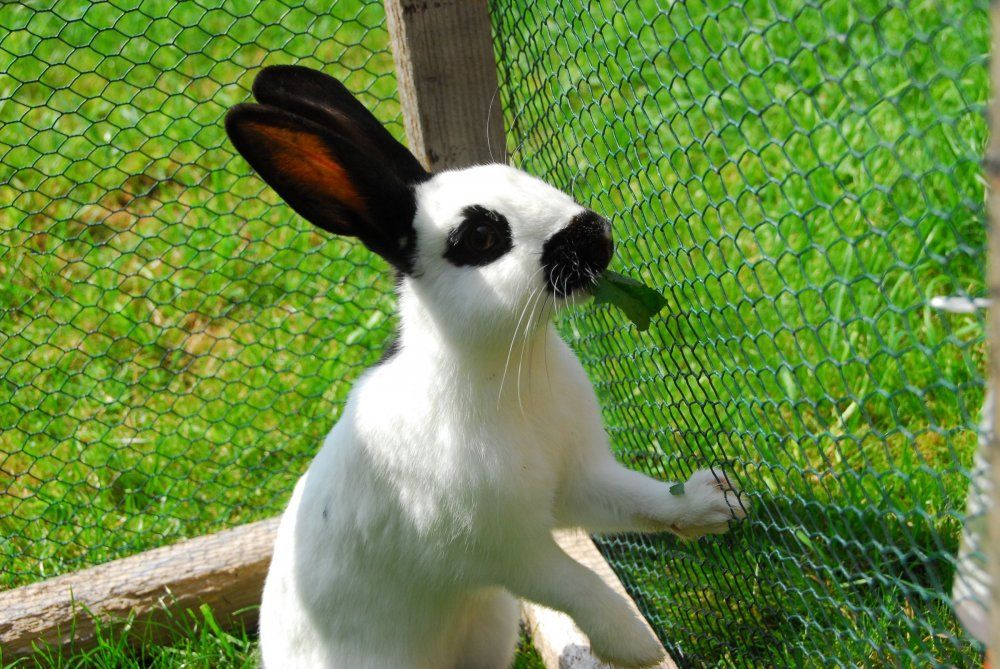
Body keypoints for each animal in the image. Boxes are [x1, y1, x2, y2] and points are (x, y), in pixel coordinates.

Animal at [225, 65, 747, 669]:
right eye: (480, 237)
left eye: (517, 175)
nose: (598, 234)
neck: (502, 368)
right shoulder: (499, 548)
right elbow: (575, 583)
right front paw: (634, 645)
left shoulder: (576, 480)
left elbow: (640, 500)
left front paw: (717, 503)